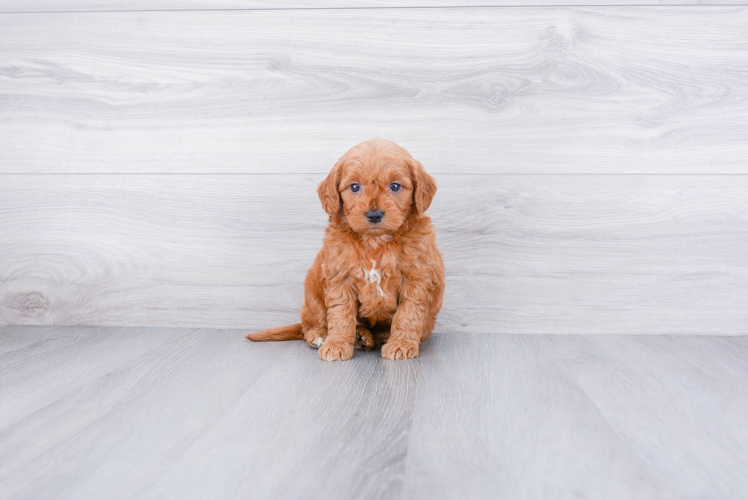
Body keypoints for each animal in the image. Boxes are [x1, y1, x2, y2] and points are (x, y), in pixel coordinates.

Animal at [245, 139, 444, 362]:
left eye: (395, 186)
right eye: (354, 187)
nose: (374, 215)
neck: (375, 242)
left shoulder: (416, 278)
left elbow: (408, 314)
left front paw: (401, 344)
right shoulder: (340, 277)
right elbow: (341, 314)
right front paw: (336, 344)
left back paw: (370, 337)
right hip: (312, 292)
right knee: (310, 324)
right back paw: (325, 336)